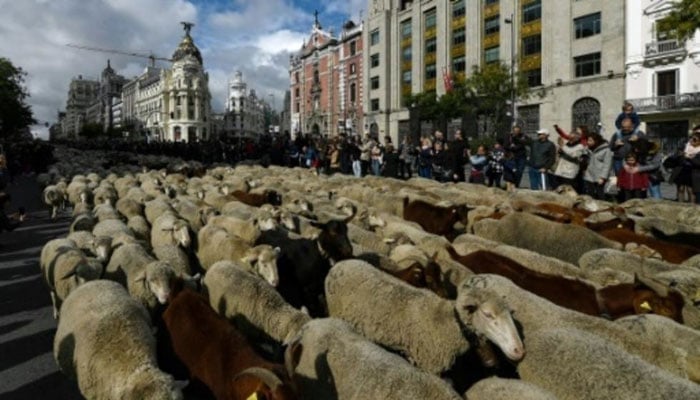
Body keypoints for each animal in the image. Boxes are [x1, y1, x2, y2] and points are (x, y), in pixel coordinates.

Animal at [324, 260, 524, 376]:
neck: (447, 322)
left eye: (510, 315)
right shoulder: (428, 365)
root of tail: (341, 264)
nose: (519, 350)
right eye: (488, 314)